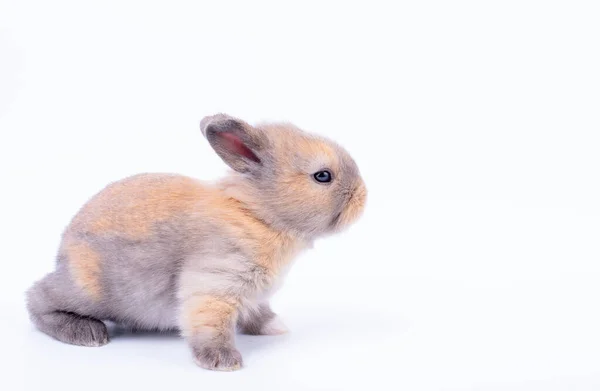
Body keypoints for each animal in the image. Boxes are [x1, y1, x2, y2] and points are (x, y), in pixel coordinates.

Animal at [24, 112, 366, 370]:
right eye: (322, 176)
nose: (363, 196)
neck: (257, 214)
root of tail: (62, 254)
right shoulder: (214, 283)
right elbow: (211, 325)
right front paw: (223, 362)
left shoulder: (254, 295)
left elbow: (258, 312)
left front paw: (275, 327)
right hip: (87, 289)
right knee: (37, 298)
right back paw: (85, 332)